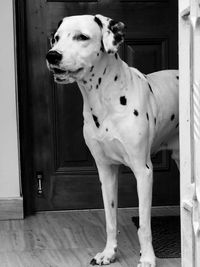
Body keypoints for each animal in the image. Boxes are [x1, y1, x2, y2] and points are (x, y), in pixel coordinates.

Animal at [46, 15, 179, 267]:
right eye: (56, 38)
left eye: (82, 37)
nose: (52, 55)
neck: (105, 99)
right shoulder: (106, 171)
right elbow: (110, 220)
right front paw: (109, 253)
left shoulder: (143, 172)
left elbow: (144, 226)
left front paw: (148, 258)